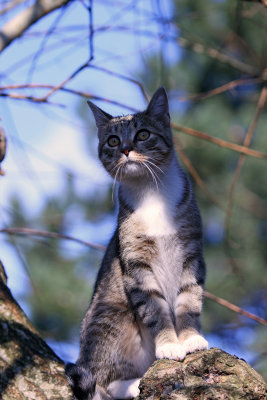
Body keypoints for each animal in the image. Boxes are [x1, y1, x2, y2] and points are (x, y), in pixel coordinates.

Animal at [66, 88, 209, 400]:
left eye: (143, 134)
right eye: (112, 140)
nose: (125, 149)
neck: (152, 192)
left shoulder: (192, 256)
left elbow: (189, 300)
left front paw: (191, 339)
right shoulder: (136, 266)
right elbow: (155, 309)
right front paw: (169, 345)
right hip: (109, 317)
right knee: (102, 382)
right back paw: (132, 383)